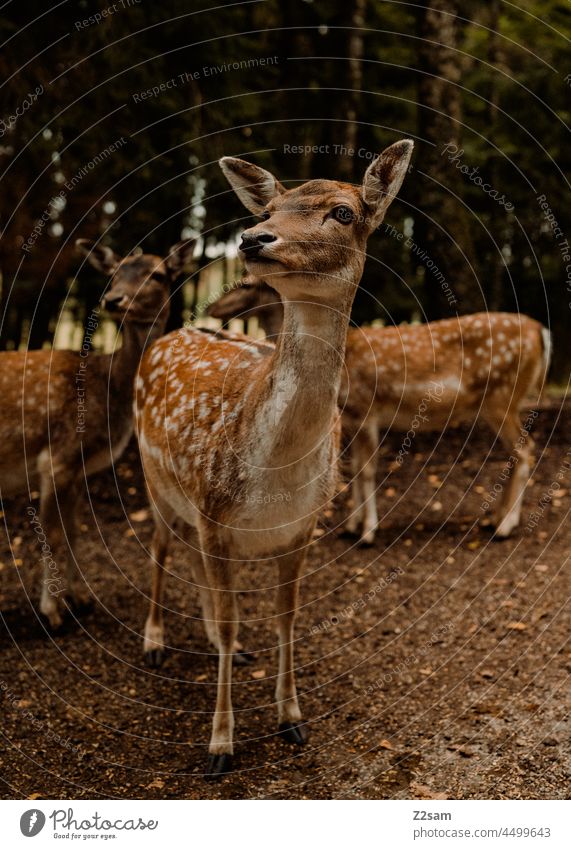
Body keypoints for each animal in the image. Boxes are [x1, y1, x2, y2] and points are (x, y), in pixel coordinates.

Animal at [0, 238, 194, 628]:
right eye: (115, 273)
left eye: (158, 274)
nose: (113, 300)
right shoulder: (57, 458)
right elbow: (53, 533)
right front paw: (51, 612)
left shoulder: (78, 469)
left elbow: (75, 531)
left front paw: (80, 598)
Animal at [135, 137, 416, 776]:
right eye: (268, 210)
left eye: (344, 211)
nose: (253, 238)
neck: (276, 475)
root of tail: (173, 332)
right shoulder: (215, 515)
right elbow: (234, 617)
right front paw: (220, 745)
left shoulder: (300, 526)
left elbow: (285, 617)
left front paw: (292, 719)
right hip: (157, 481)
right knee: (161, 550)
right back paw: (155, 642)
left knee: (195, 569)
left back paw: (227, 648)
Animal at [208, 280, 552, 544]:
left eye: (246, 283)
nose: (211, 308)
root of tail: (542, 332)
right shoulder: (351, 418)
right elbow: (356, 470)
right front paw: (352, 526)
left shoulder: (367, 409)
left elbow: (368, 470)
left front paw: (368, 532)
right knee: (516, 452)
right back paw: (495, 519)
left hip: (502, 396)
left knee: (525, 450)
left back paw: (506, 526)